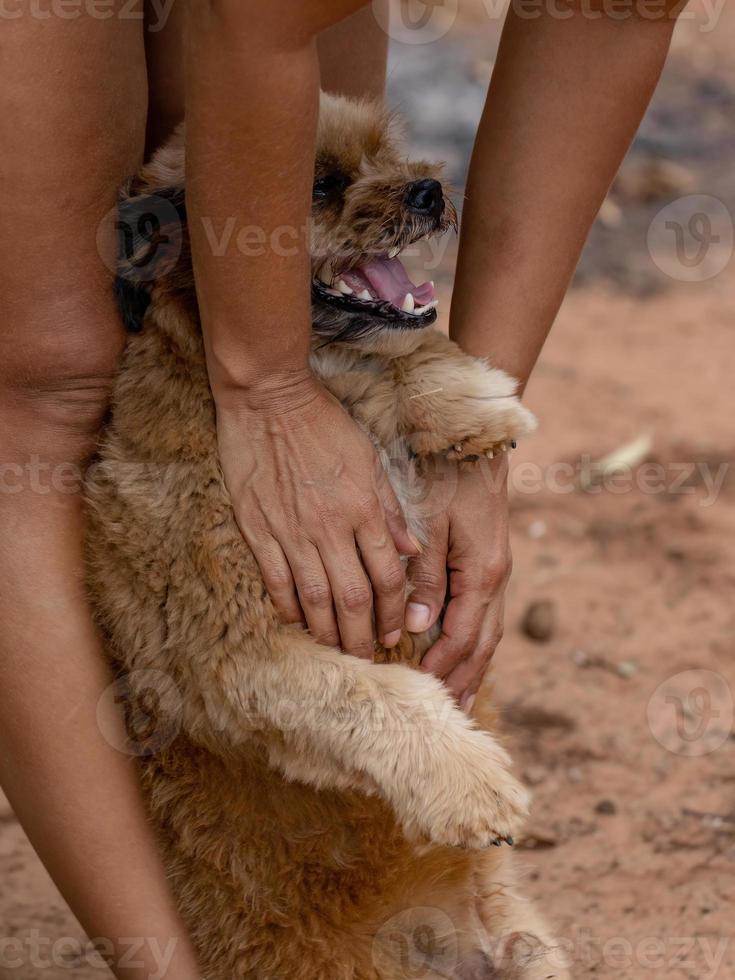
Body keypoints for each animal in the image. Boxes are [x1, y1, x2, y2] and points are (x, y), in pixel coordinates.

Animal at [86, 94, 568, 980]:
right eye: (317, 184)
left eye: (387, 152)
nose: (427, 190)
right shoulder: (233, 658)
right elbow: (381, 695)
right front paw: (470, 781)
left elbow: (406, 348)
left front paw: (468, 400)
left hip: (528, 948)